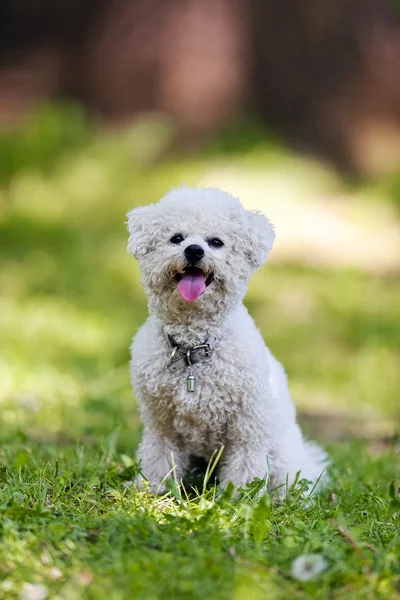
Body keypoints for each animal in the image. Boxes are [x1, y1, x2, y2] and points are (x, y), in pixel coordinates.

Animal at [128, 186, 328, 492]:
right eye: (176, 238)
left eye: (216, 242)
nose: (194, 250)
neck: (194, 348)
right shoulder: (160, 424)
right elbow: (159, 460)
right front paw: (152, 492)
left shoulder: (248, 428)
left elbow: (244, 472)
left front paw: (236, 500)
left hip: (284, 457)